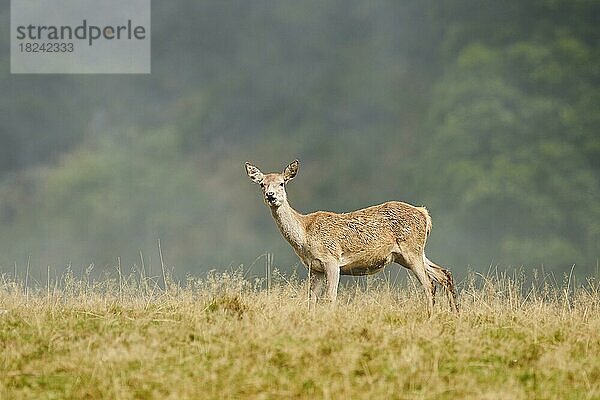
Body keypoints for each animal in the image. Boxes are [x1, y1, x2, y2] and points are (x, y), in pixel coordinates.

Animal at [244, 160, 460, 316]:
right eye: (262, 184)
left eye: (282, 183)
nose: (271, 195)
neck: (304, 235)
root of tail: (424, 214)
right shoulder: (314, 268)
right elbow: (311, 300)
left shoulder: (331, 259)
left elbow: (330, 297)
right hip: (408, 254)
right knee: (443, 274)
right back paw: (455, 314)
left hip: (411, 249)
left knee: (429, 284)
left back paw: (431, 316)